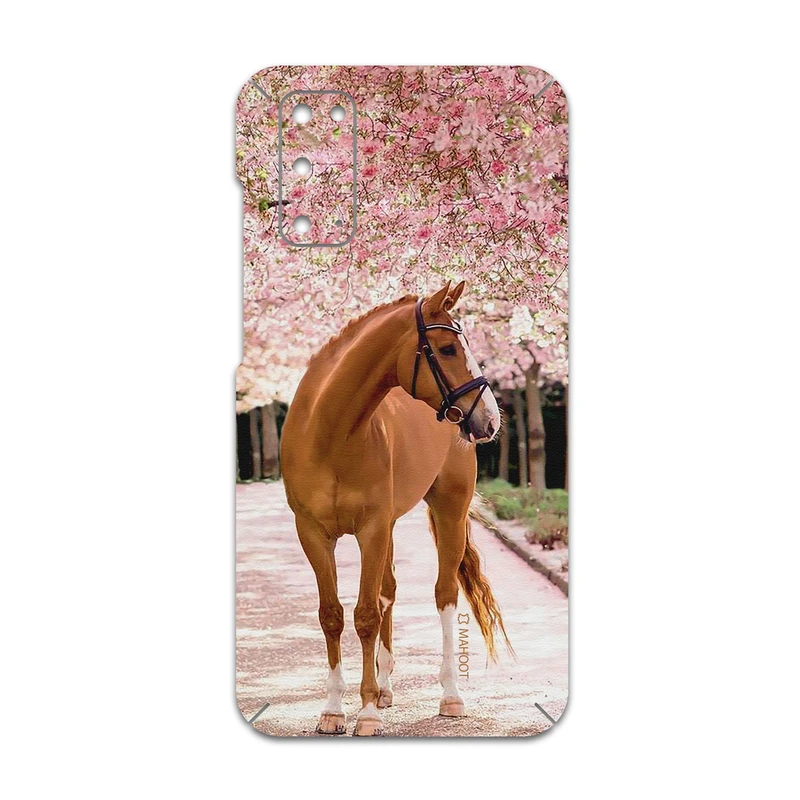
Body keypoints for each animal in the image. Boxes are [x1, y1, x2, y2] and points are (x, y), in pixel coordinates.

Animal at [280, 281, 510, 736]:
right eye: (447, 348)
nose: (490, 419)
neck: (330, 433)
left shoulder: (370, 529)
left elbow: (366, 614)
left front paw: (365, 713)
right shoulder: (314, 533)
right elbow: (332, 615)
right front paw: (334, 710)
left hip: (448, 510)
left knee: (444, 594)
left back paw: (450, 696)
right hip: (387, 527)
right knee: (388, 591)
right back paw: (385, 688)